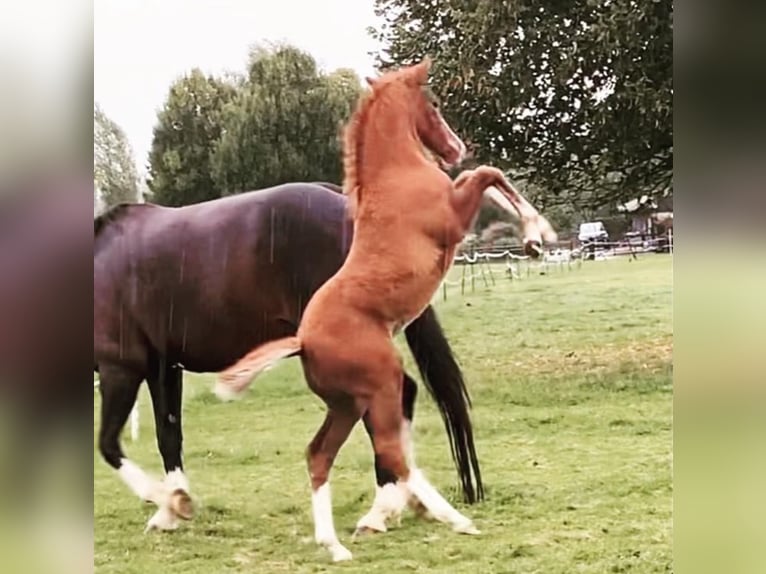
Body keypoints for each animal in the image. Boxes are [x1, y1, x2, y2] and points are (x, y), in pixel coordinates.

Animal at [93, 182, 484, 532]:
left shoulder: (120, 369)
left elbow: (108, 444)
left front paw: (170, 502)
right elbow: (168, 435)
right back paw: (406, 501)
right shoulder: (163, 367)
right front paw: (172, 509)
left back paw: (381, 511)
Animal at [216, 59, 560, 564]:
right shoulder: (453, 216)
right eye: (433, 103)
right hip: (380, 386)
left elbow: (488, 180)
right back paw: (451, 519)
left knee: (320, 455)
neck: (397, 174)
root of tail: (302, 341)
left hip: (346, 402)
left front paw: (534, 237)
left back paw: (336, 544)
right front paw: (540, 232)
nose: (455, 148)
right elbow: (488, 173)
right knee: (390, 453)